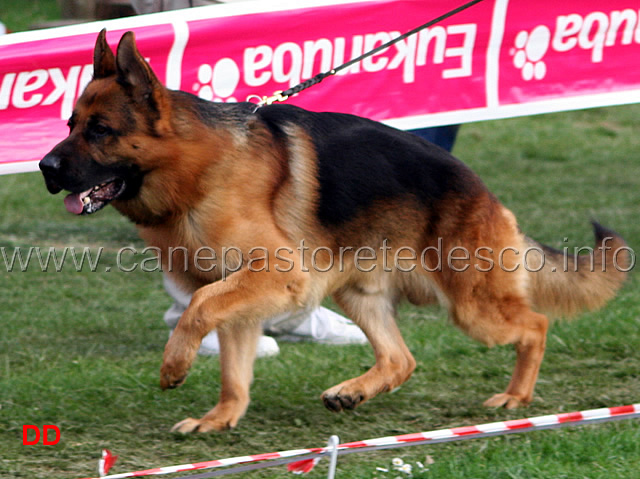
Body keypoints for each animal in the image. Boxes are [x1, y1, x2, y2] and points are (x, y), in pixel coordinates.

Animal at [41, 31, 632, 436]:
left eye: (100, 131)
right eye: (69, 125)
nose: (45, 168)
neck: (197, 169)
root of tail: (482, 189)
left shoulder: (273, 276)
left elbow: (198, 309)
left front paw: (175, 364)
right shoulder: (244, 294)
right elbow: (233, 365)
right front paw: (222, 416)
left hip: (471, 305)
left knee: (534, 325)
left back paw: (515, 398)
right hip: (358, 292)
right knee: (401, 358)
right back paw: (353, 392)